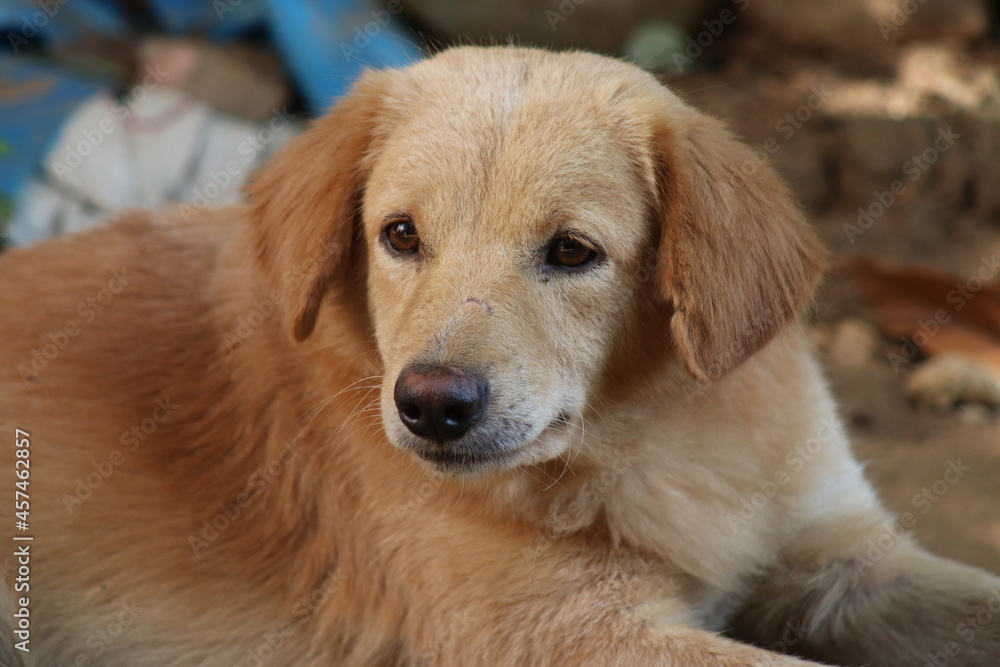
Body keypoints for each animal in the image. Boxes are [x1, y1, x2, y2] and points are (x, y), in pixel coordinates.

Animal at [1, 47, 1000, 667]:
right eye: (400, 235)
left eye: (572, 251)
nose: (431, 405)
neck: (653, 432)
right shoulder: (567, 634)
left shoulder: (845, 558)